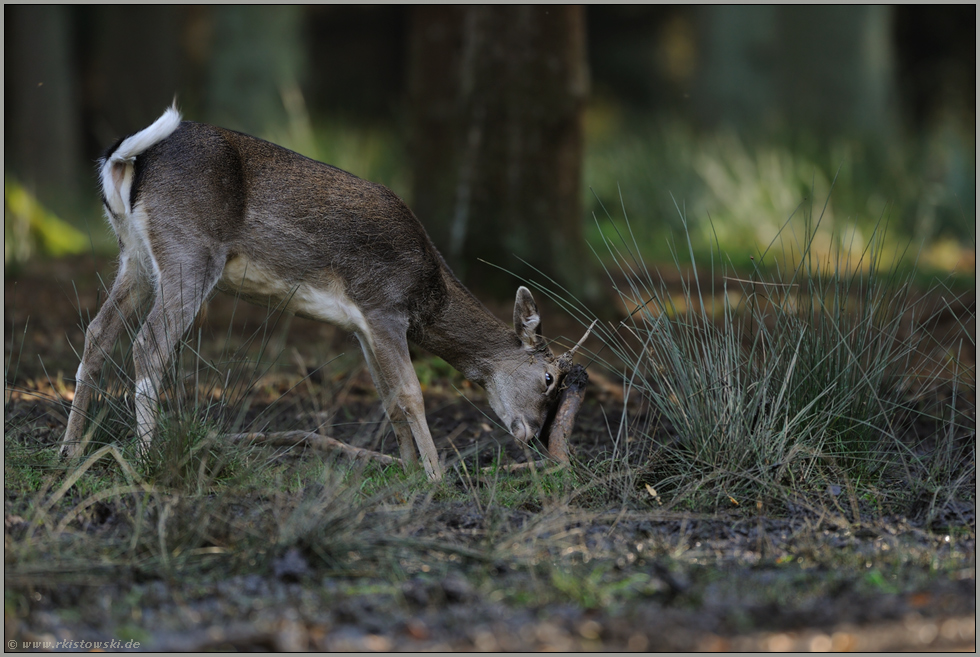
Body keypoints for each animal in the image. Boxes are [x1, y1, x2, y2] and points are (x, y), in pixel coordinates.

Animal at [65, 105, 592, 480]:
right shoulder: (383, 306)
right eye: (548, 377)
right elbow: (411, 393)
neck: (428, 293)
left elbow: (387, 397)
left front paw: (406, 471)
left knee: (96, 333)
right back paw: (144, 460)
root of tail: (125, 159)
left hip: (134, 257)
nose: (533, 436)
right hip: (189, 251)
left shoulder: (361, 326)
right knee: (148, 344)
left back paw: (70, 451)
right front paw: (437, 478)